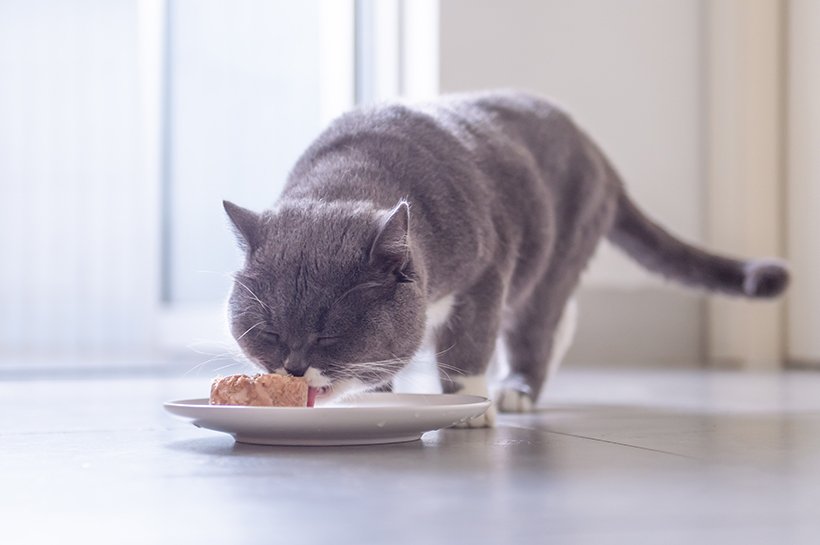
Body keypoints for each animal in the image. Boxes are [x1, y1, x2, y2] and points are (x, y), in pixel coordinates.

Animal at [223, 91, 788, 428]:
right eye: (268, 332)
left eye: (328, 336)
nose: (293, 369)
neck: (349, 178)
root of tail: (597, 153)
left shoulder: (486, 267)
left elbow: (469, 342)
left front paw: (468, 407)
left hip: (556, 246)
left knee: (536, 320)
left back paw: (516, 389)